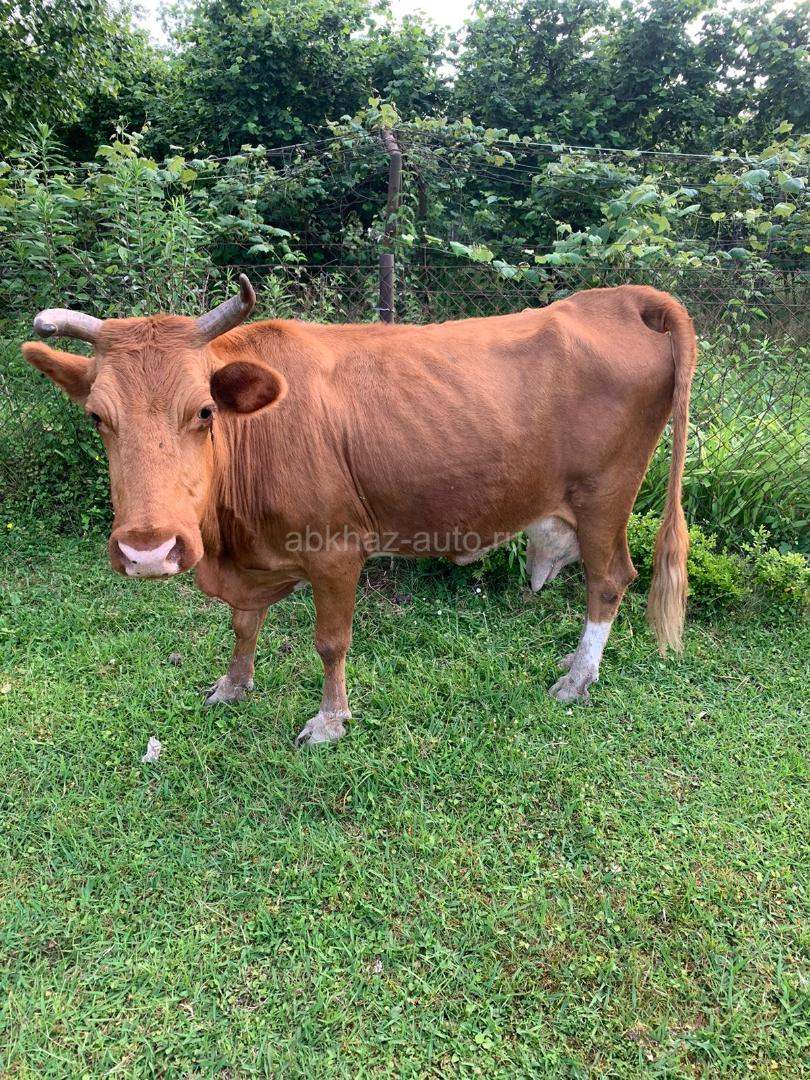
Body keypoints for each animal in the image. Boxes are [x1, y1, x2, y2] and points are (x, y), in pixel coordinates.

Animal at [22, 277, 696, 745]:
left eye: (205, 411)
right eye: (96, 417)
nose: (148, 551)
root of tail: (619, 299)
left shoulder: (336, 550)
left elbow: (330, 642)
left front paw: (329, 721)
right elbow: (243, 625)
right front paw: (233, 685)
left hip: (606, 495)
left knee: (610, 581)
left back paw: (577, 678)